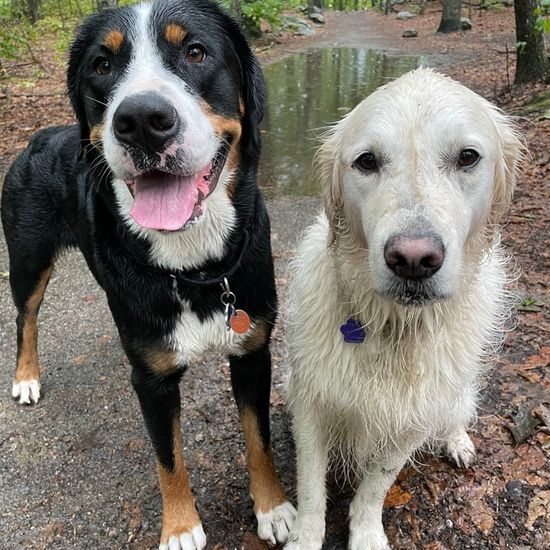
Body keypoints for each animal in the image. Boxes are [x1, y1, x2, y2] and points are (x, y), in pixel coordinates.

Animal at [1, 2, 298, 548]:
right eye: (102, 65)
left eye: (196, 52)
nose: (141, 120)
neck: (193, 265)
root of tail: (39, 135)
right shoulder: (151, 381)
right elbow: (168, 458)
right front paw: (180, 526)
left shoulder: (252, 353)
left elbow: (258, 437)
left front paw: (273, 507)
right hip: (28, 261)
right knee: (25, 318)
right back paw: (26, 377)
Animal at [286, 70, 524, 550]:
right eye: (366, 161)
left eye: (468, 157)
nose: (413, 259)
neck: (394, 324)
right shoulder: (310, 401)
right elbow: (310, 486)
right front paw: (305, 537)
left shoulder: (412, 420)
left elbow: (377, 482)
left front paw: (365, 533)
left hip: (455, 394)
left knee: (456, 414)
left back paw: (457, 441)